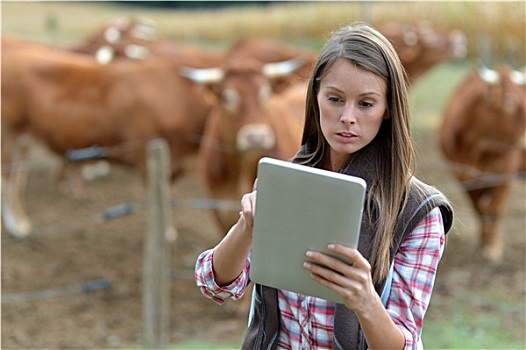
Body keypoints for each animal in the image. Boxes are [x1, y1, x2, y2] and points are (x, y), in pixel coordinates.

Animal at [440, 64, 524, 262]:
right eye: (510, 102)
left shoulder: (504, 173)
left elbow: (494, 209)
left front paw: (493, 247)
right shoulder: (463, 174)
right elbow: (480, 208)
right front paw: (484, 243)